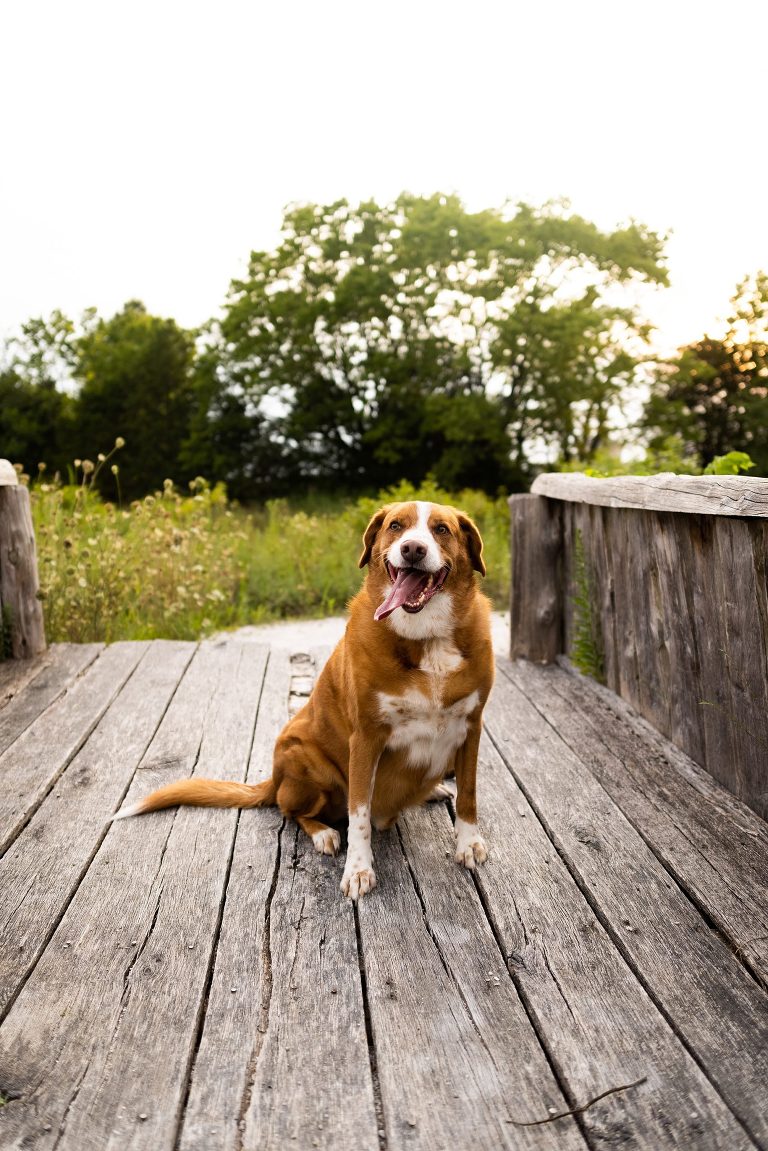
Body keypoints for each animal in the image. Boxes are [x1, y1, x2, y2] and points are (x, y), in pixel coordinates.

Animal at [116, 501, 495, 897]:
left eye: (441, 529)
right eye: (396, 526)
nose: (413, 549)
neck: (427, 640)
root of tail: (274, 779)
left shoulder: (472, 727)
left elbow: (469, 793)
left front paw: (468, 844)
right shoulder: (366, 739)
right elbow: (359, 815)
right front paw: (358, 869)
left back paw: (433, 789)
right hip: (306, 761)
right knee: (291, 810)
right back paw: (323, 834)